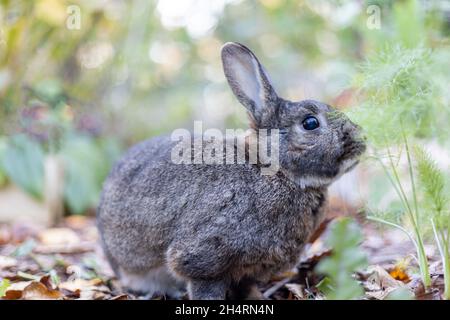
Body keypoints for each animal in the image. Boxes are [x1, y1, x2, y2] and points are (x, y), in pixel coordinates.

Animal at [96, 42, 366, 300]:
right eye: (310, 123)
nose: (361, 139)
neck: (274, 171)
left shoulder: (251, 270)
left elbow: (247, 286)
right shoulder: (203, 257)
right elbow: (204, 285)